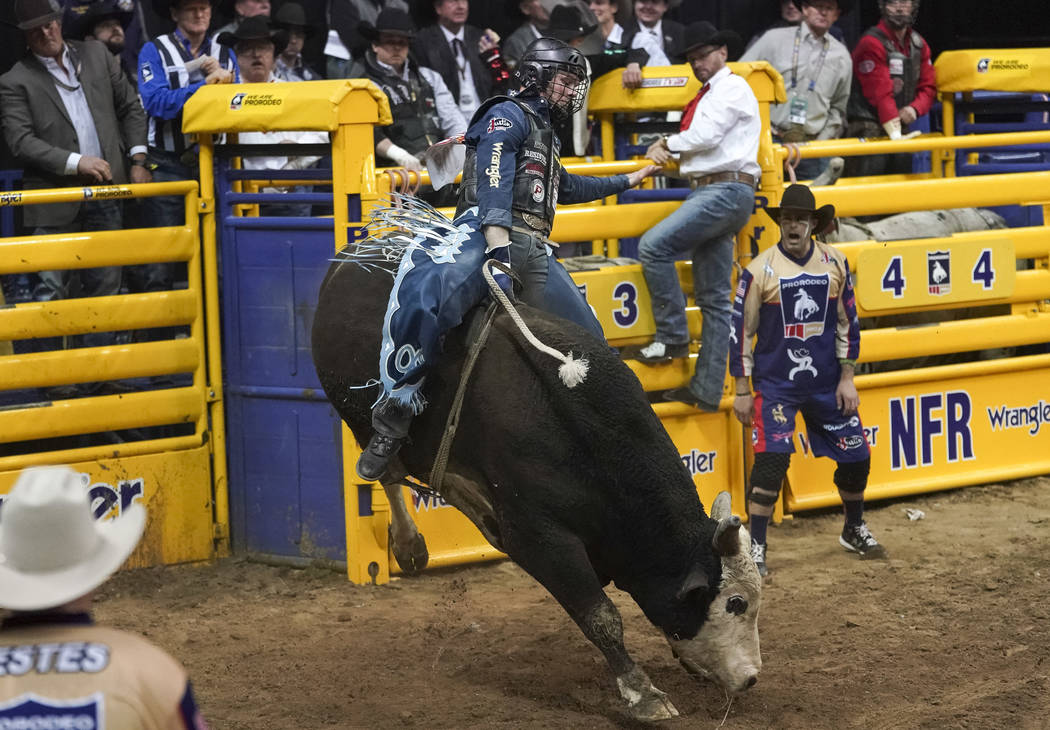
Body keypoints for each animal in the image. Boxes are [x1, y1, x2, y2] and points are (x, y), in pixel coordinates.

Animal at [310, 249, 764, 718]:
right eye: (735, 603)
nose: (751, 678)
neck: (587, 439)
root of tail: (347, 260)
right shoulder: (539, 537)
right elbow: (601, 616)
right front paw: (644, 694)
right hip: (362, 420)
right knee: (387, 470)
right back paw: (409, 542)